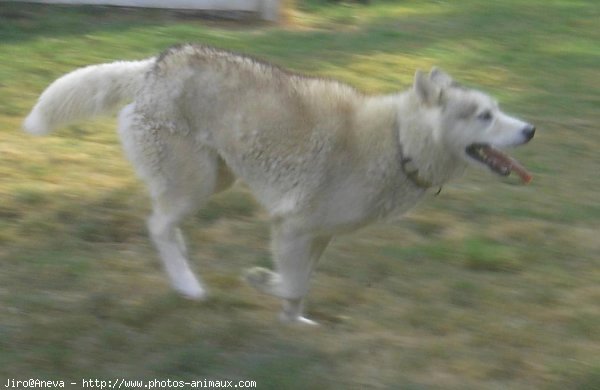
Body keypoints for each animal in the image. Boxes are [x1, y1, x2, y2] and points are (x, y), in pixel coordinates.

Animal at [23, 44, 536, 324]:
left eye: (498, 110)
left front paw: (296, 322)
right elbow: (289, 283)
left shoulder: (318, 235)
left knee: (166, 226)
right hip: (196, 184)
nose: (530, 129)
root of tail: (155, 64)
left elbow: (300, 287)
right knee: (157, 226)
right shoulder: (290, 226)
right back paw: (188, 285)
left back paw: (185, 270)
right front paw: (261, 281)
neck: (397, 143)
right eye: (484, 116)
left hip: (215, 180)